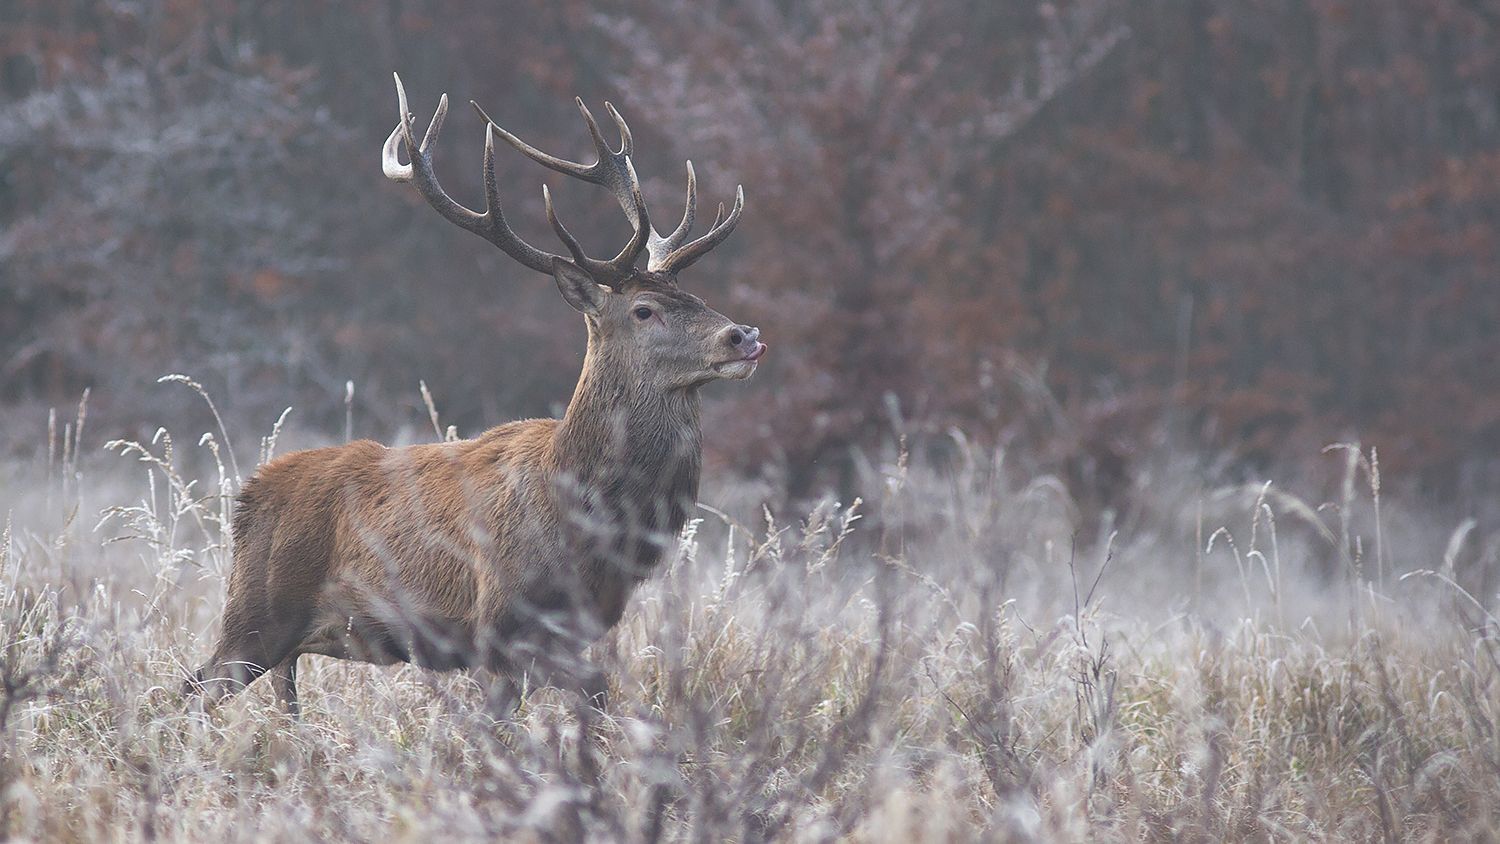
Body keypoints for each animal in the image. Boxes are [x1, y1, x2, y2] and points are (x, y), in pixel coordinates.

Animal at [185, 74, 765, 716]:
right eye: (645, 310)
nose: (744, 335)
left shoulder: (581, 627)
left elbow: (596, 693)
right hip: (256, 614)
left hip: (278, 638)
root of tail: (248, 494)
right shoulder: (498, 623)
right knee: (186, 690)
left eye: (698, 298)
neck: (587, 515)